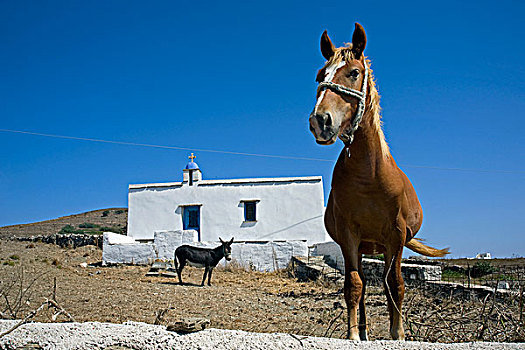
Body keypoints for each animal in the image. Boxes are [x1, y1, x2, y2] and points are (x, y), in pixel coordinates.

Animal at [310, 23, 448, 340]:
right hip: (361, 248)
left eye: (354, 73)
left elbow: (395, 286)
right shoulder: (349, 235)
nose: (320, 121)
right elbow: (354, 286)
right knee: (360, 284)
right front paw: (353, 335)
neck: (369, 177)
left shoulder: (395, 237)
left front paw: (398, 333)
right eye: (320, 75)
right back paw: (362, 330)